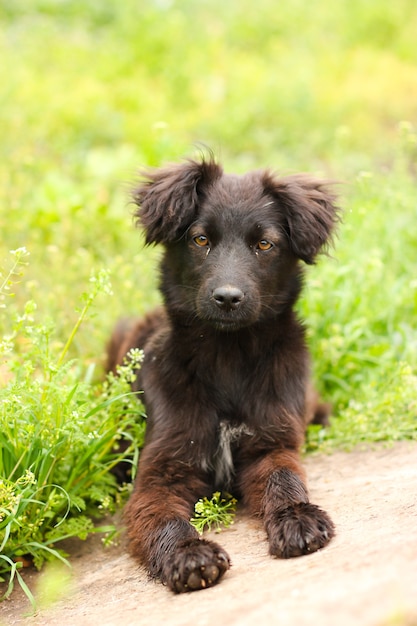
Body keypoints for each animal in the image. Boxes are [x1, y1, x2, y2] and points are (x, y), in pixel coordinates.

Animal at [107, 154, 338, 592]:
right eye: (200, 240)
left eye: (264, 244)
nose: (228, 298)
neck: (228, 356)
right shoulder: (161, 470)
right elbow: (162, 517)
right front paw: (188, 554)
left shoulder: (271, 443)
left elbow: (285, 479)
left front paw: (296, 517)